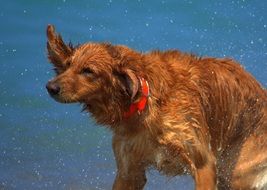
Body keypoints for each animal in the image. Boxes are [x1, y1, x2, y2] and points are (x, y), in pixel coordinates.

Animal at [45, 25, 266, 190]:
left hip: (236, 171)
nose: (50, 87)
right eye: (68, 65)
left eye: (88, 71)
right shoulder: (129, 170)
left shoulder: (203, 162)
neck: (144, 106)